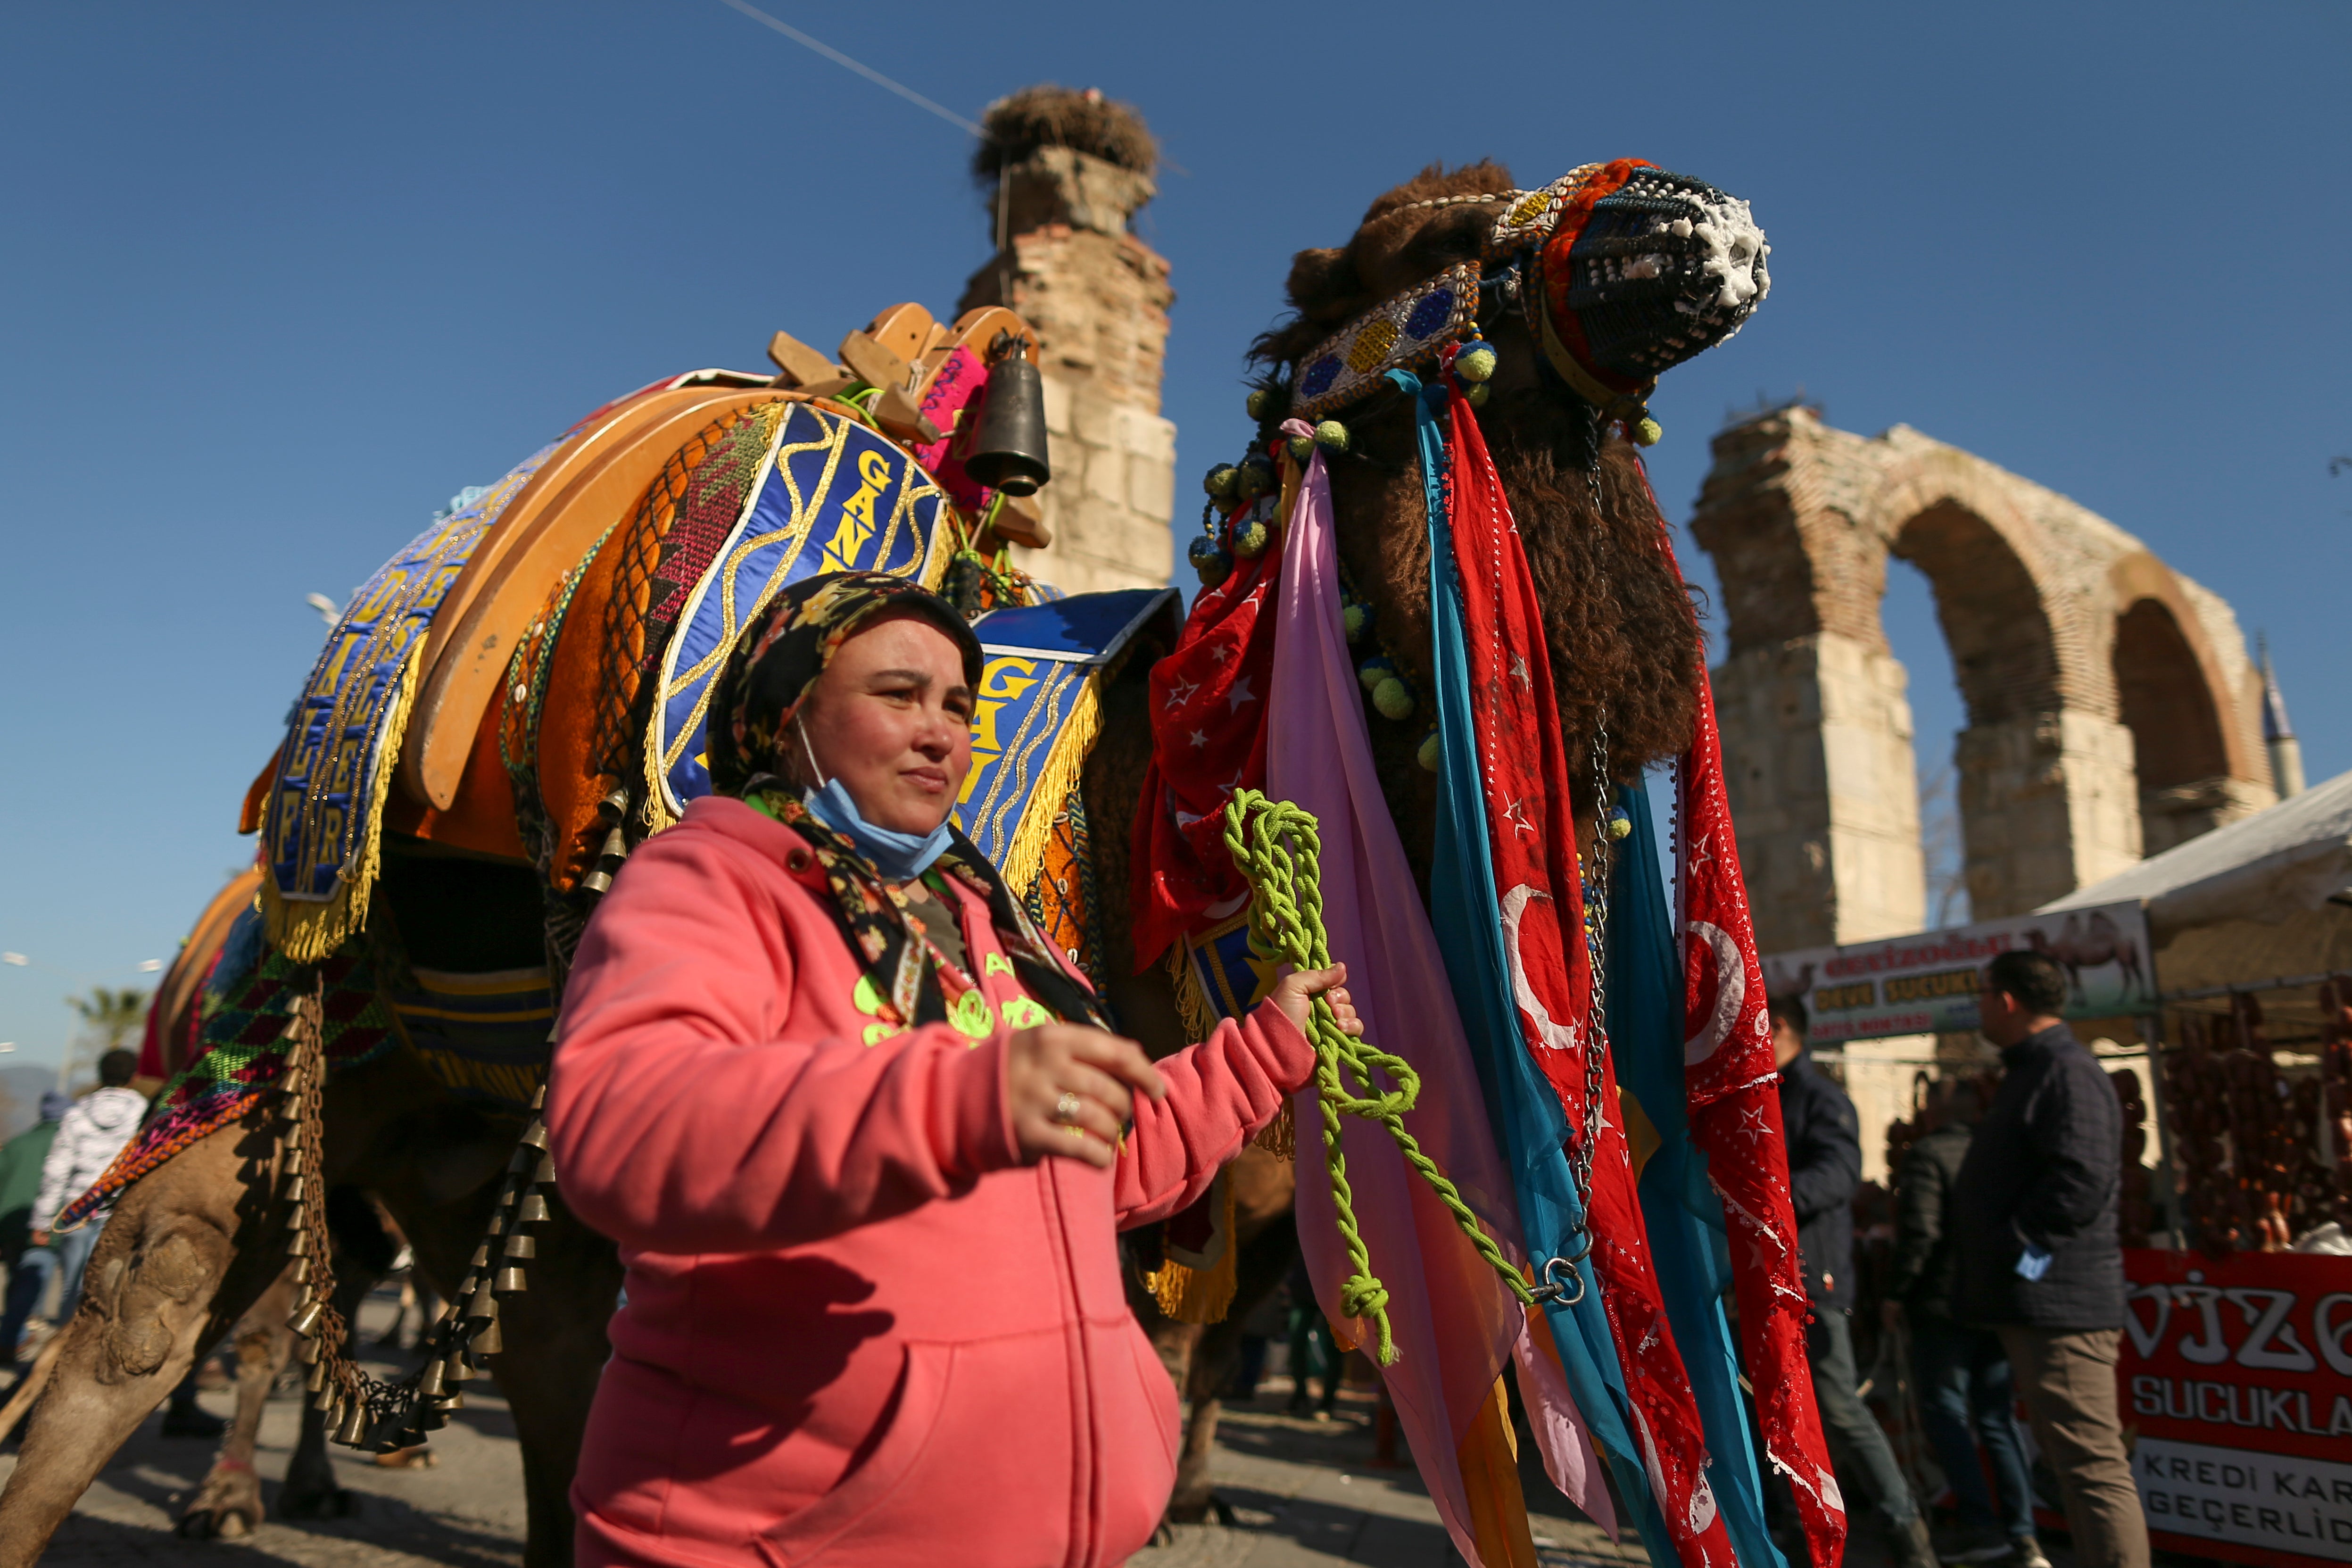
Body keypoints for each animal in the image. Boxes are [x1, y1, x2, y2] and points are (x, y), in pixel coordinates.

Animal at [0, 150, 1834, 1568]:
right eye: (1422, 244)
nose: (1697, 221)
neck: (1158, 806)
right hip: (283, 1053)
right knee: (139, 1337)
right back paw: (223, 1488)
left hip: (465, 1131)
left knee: (522, 1354)